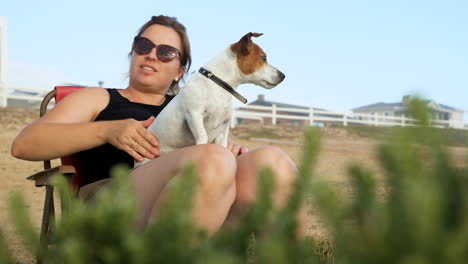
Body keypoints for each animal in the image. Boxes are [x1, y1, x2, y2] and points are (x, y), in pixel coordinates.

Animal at [135, 32, 286, 166]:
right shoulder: (194, 115)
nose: (283, 75)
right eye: (263, 58)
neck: (218, 85)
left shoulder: (223, 129)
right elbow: (202, 136)